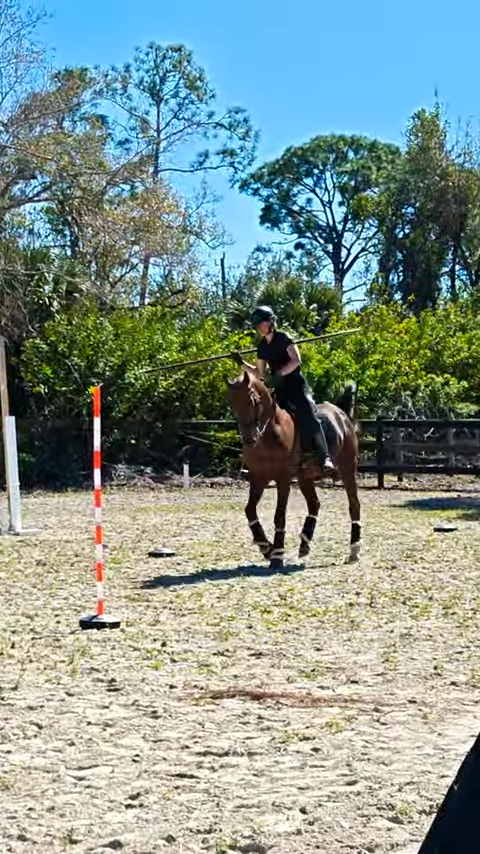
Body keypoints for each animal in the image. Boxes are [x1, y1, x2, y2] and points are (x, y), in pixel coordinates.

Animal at [226, 370, 361, 567]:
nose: (249, 439)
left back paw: (354, 550)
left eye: (253, 400)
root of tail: (341, 414)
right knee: (314, 504)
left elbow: (279, 516)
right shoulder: (258, 478)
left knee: (354, 505)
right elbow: (249, 510)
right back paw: (304, 544)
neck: (271, 435)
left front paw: (277, 555)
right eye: (232, 403)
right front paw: (266, 548)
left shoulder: (283, 479)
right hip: (306, 477)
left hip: (348, 469)